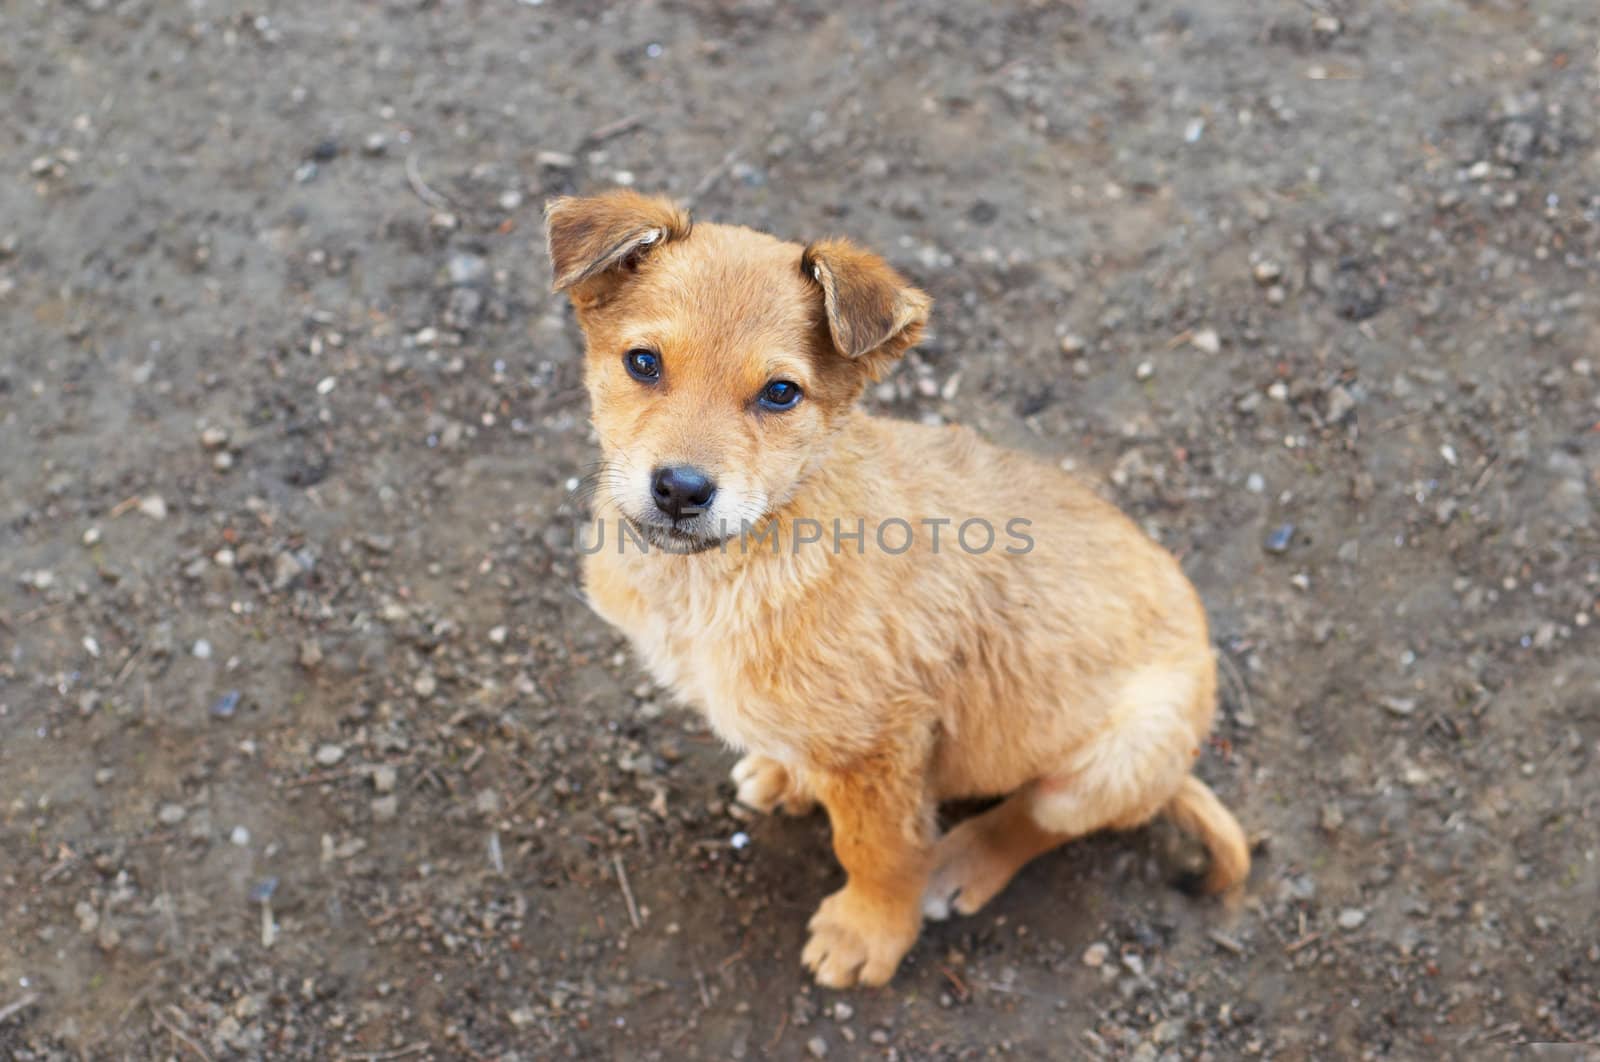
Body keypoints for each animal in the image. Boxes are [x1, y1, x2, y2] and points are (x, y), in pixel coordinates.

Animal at [550, 188, 1248, 985]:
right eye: (643, 362)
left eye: (781, 393)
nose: (680, 490)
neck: (732, 567)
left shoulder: (885, 740)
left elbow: (876, 848)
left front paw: (869, 932)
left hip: (1123, 756)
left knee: (1037, 817)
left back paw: (960, 864)